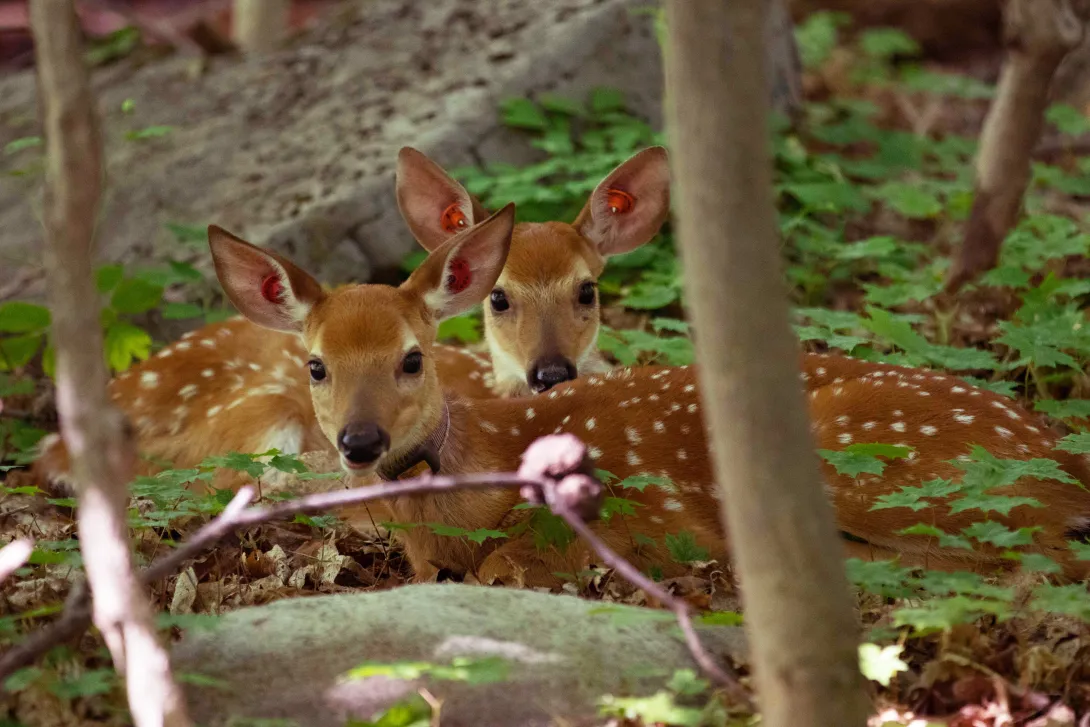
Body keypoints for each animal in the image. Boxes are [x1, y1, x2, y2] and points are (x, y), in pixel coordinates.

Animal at [206, 202, 1090, 587]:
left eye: (413, 358)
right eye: (316, 365)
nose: (359, 442)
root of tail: (1055, 449)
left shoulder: (647, 514)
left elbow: (512, 564)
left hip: (871, 460)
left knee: (1034, 555)